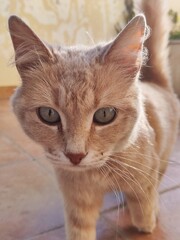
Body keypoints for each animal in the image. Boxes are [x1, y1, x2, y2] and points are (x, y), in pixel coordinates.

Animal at [8, 0, 180, 240]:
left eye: (105, 115)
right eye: (49, 115)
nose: (75, 156)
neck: (98, 174)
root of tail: (155, 81)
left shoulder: (146, 173)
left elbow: (144, 204)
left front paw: (147, 220)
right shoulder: (77, 201)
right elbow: (79, 230)